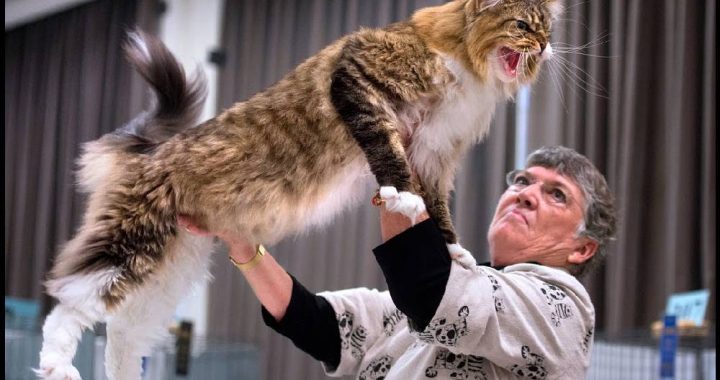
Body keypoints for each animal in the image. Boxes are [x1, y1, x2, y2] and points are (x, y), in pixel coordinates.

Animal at [36, 1, 560, 378]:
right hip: (134, 241)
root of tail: (153, 150)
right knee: (70, 301)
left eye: (547, 31)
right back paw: (57, 364)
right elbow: (391, 159)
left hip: (168, 269)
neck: (467, 63)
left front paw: (454, 254)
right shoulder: (360, 77)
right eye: (521, 25)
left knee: (121, 332)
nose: (546, 49)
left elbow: (438, 214)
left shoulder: (434, 154)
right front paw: (403, 198)